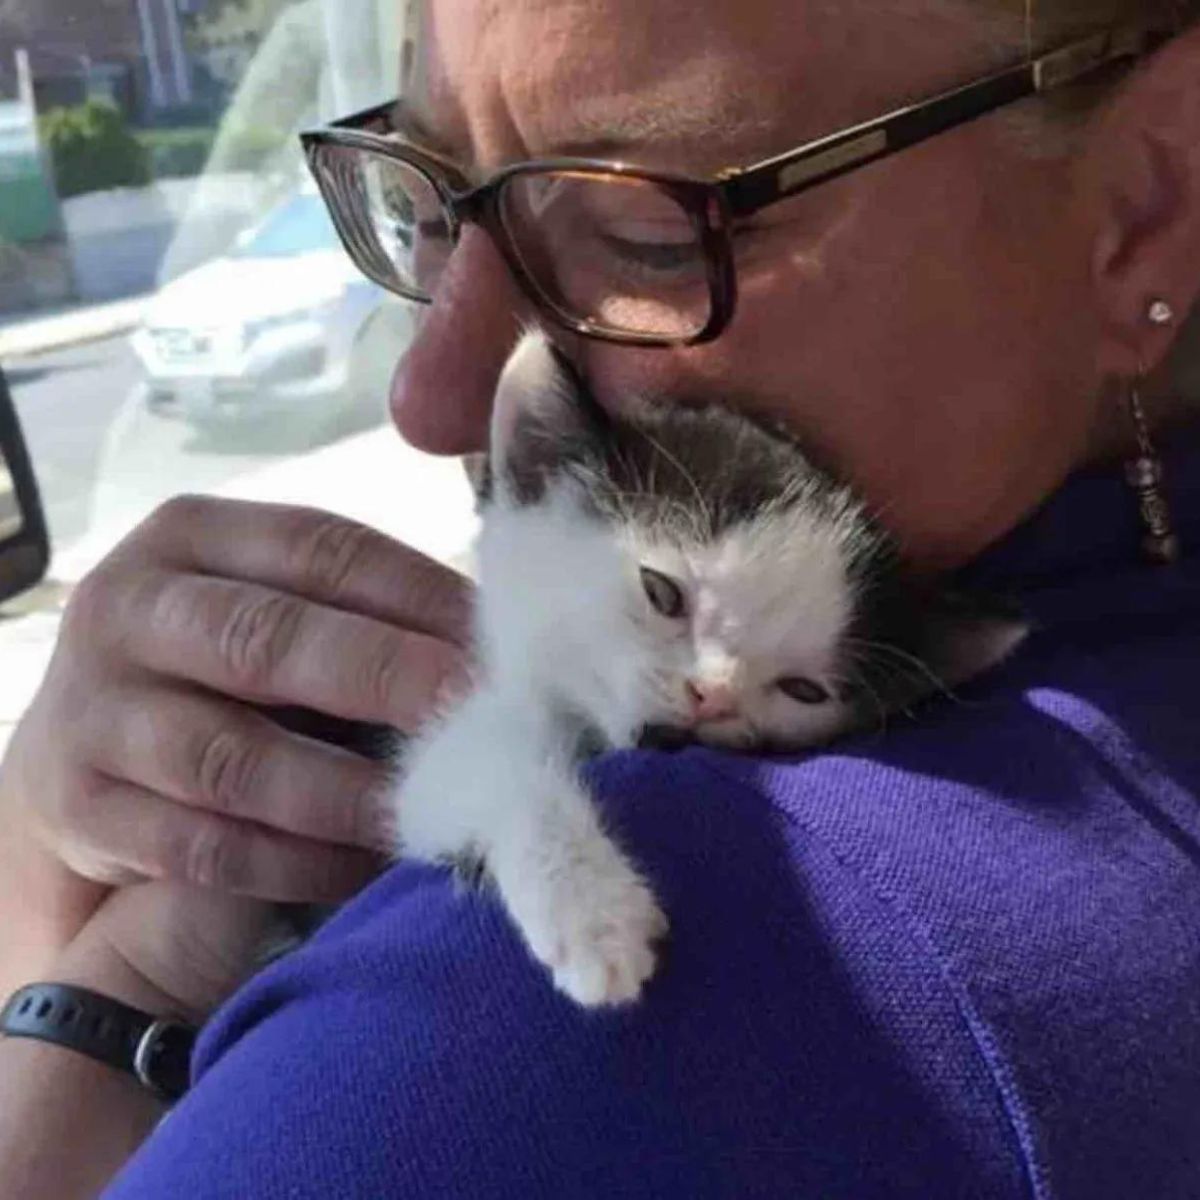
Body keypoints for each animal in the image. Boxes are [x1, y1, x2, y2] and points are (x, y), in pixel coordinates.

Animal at [388, 333, 1027, 1008]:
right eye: (661, 592)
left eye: (802, 689)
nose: (712, 697)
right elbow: (482, 770)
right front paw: (593, 911)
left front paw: (594, 910)